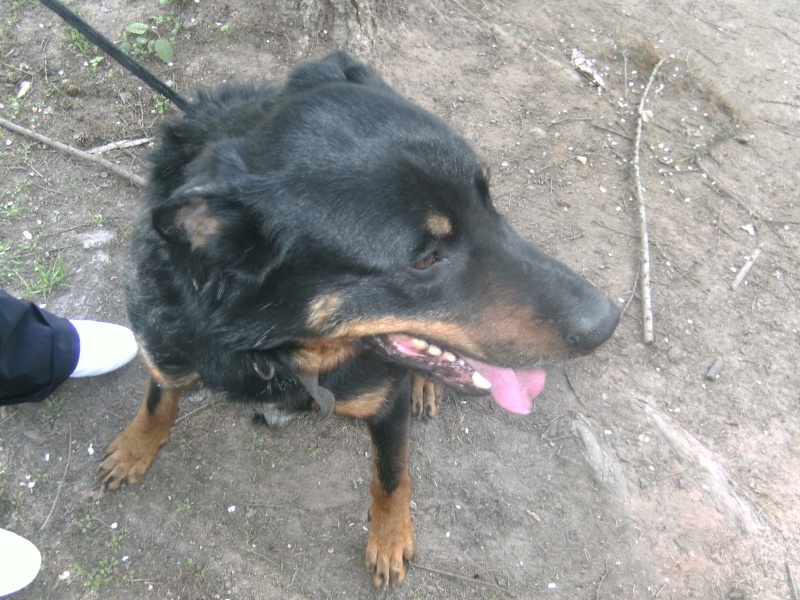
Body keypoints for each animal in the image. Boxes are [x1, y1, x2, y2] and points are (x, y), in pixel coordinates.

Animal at [39, 0, 620, 588]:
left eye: (489, 202)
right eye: (424, 259)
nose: (608, 322)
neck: (278, 349)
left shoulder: (384, 404)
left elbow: (390, 475)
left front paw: (389, 538)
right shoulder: (168, 346)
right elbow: (160, 398)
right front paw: (137, 446)